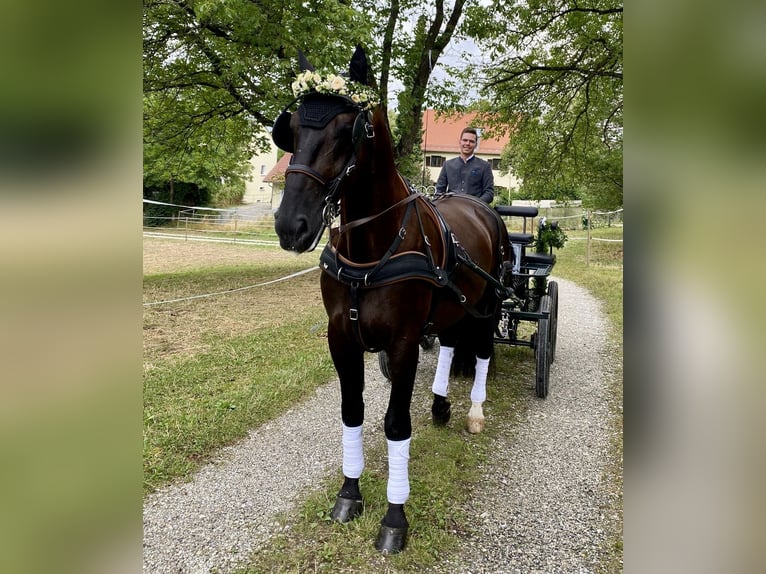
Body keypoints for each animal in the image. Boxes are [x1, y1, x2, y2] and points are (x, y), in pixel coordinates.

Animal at [272, 48, 512, 552]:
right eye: (293, 128)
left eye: (346, 130)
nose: (290, 225)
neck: (373, 248)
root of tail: (481, 207)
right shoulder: (341, 338)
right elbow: (352, 413)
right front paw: (348, 495)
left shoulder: (402, 343)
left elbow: (396, 424)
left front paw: (394, 518)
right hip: (452, 307)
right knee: (449, 345)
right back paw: (440, 405)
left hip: (487, 306)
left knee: (480, 351)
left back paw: (474, 411)